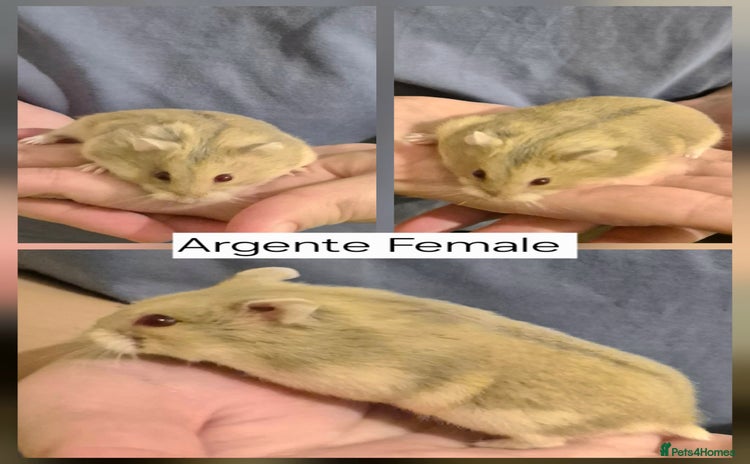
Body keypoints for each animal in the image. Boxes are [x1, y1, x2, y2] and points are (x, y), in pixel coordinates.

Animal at [19, 109, 317, 203]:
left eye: (225, 178)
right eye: (161, 176)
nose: (188, 201)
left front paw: (298, 171)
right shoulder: (100, 143)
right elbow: (94, 156)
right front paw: (93, 169)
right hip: (84, 124)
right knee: (58, 132)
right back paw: (34, 140)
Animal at [406, 96, 722, 202]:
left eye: (543, 181)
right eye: (478, 173)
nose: (495, 198)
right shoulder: (456, 129)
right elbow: (438, 133)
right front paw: (413, 138)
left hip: (705, 133)